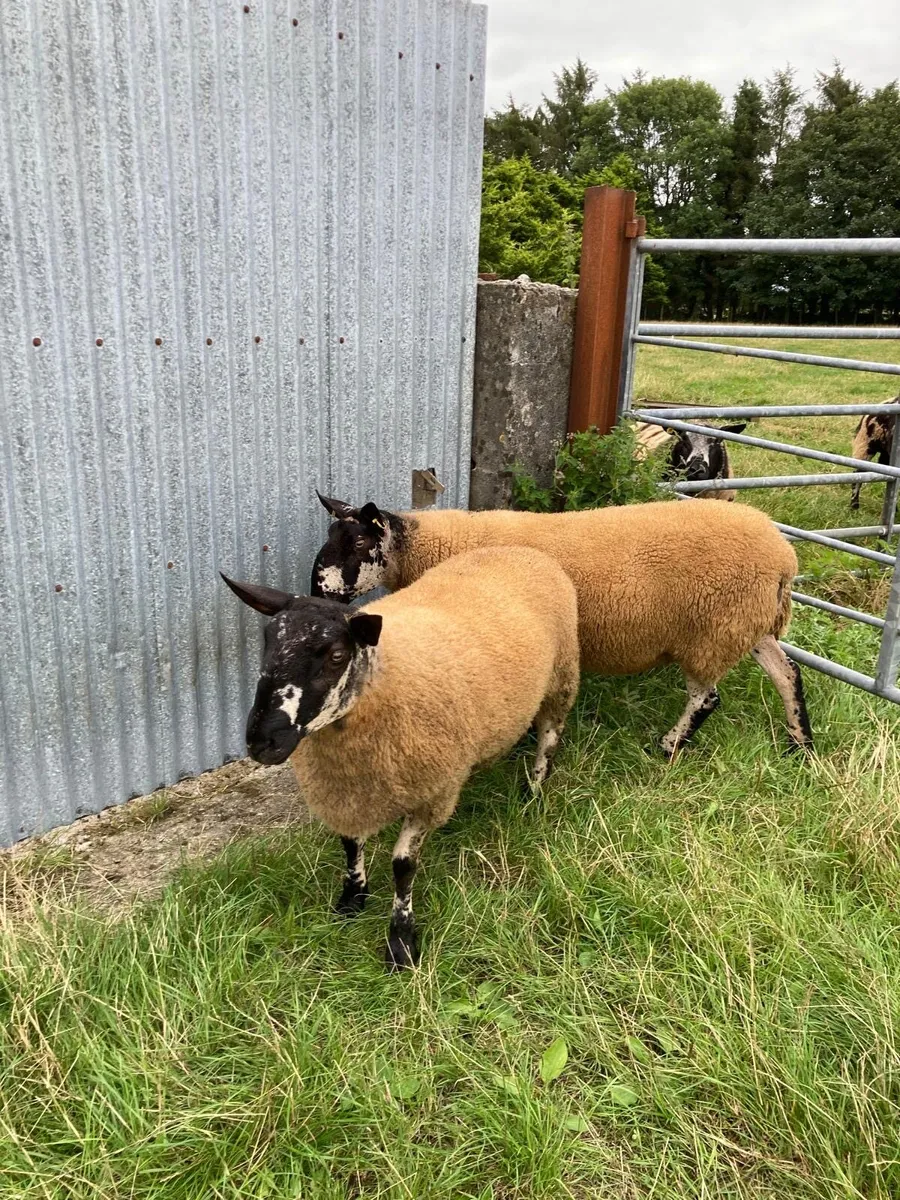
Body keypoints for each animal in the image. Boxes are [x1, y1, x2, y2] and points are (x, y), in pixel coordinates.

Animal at [222, 545, 580, 970]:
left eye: (337, 655)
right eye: (266, 644)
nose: (262, 741)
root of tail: (522, 549)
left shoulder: (432, 792)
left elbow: (403, 866)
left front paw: (402, 942)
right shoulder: (347, 791)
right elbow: (350, 845)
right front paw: (352, 899)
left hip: (561, 679)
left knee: (549, 737)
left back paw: (533, 791)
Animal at [310, 494, 813, 757]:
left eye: (359, 543)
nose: (317, 588)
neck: (429, 547)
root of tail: (784, 557)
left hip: (713, 630)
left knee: (707, 698)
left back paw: (669, 746)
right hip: (744, 625)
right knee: (788, 674)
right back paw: (800, 742)